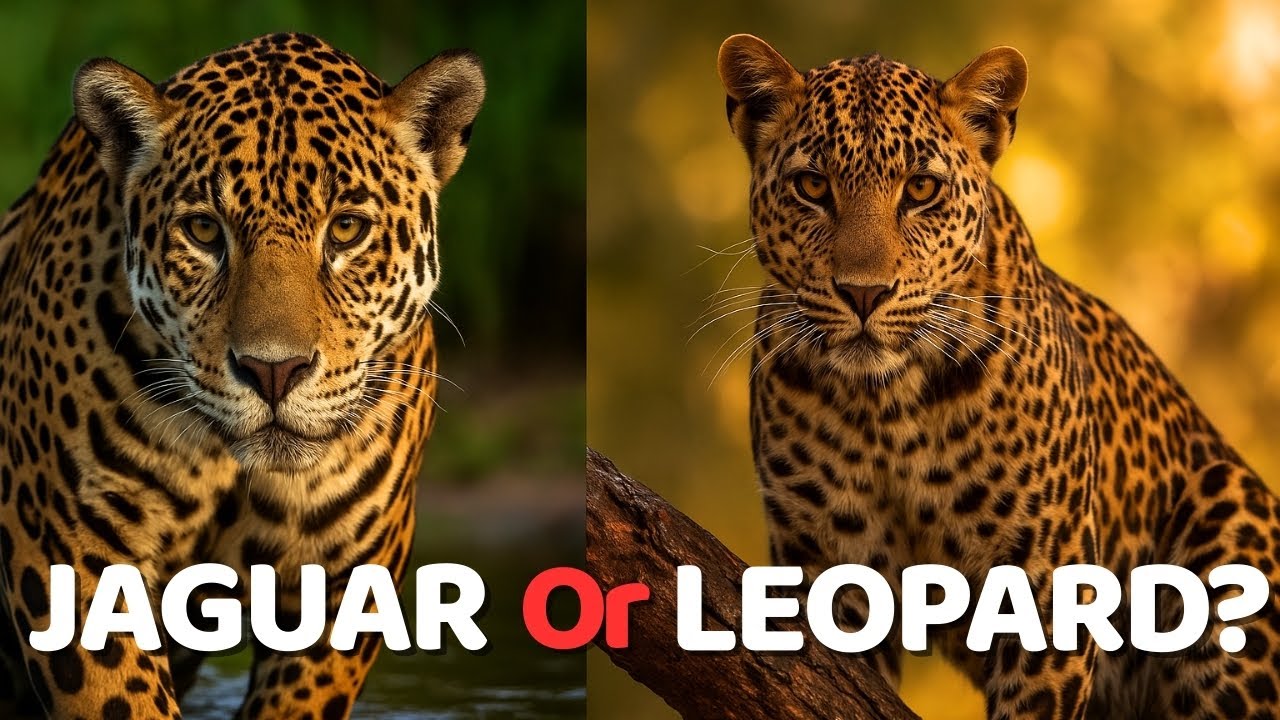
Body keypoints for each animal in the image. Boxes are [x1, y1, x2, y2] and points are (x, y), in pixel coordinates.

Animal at [717, 33, 1280, 720]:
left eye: (921, 188)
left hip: (1228, 504)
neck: (887, 407)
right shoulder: (827, 573)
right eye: (812, 185)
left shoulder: (1048, 579)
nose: (863, 293)